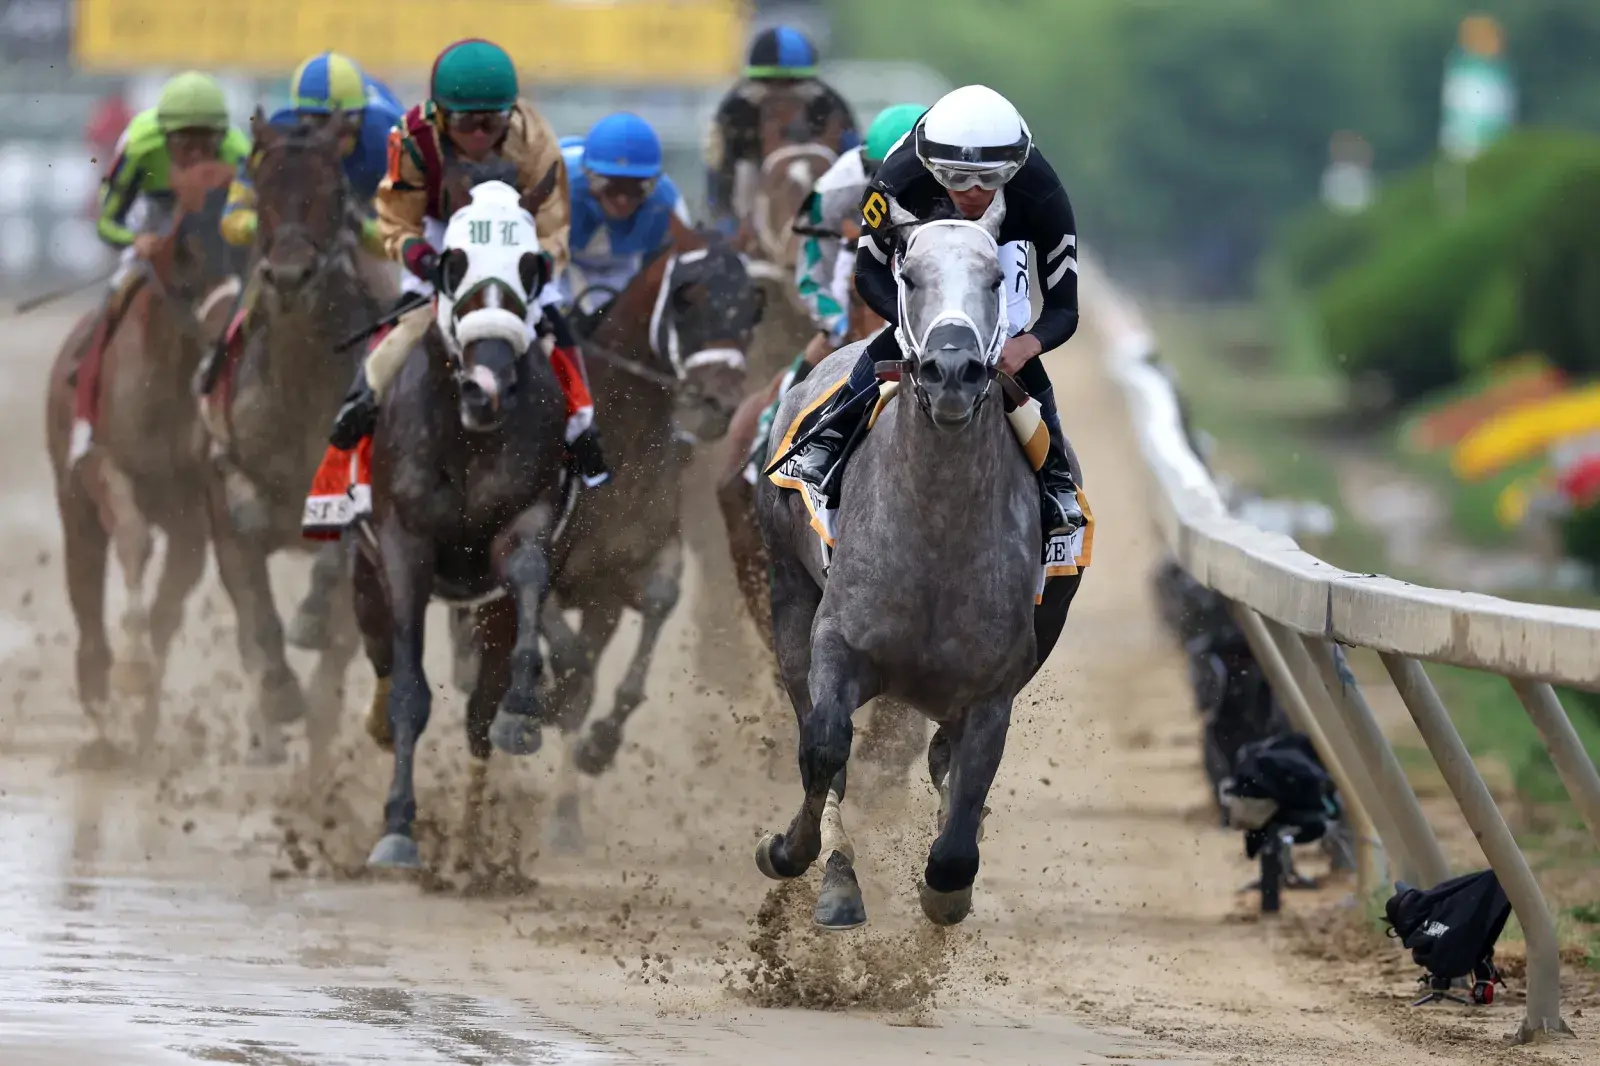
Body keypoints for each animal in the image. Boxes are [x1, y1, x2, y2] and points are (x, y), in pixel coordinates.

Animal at [45, 161, 242, 754]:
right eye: (188, 263)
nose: (226, 332)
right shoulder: (103, 465)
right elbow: (132, 539)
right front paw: (129, 669)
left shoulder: (193, 510)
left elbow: (169, 606)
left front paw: (145, 699)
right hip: (75, 506)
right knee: (86, 586)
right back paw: (98, 692)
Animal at [201, 111, 387, 765]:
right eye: (262, 190)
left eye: (335, 191)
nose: (287, 276)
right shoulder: (228, 483)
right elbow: (255, 610)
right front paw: (278, 696)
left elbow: (337, 568)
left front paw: (308, 618)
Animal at [352, 164, 570, 870]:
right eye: (452, 261)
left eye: (530, 263)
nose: (486, 385)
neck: (468, 436)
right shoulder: (402, 546)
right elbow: (408, 692)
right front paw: (397, 826)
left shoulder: (527, 517)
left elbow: (525, 574)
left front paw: (522, 712)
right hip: (362, 571)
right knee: (380, 654)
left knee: (477, 710)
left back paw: (472, 843)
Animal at [753, 195, 1084, 930]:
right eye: (909, 276)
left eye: (996, 279)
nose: (951, 370)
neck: (936, 537)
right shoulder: (837, 640)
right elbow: (824, 746)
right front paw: (797, 857)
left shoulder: (992, 691)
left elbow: (959, 829)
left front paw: (948, 888)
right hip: (787, 589)